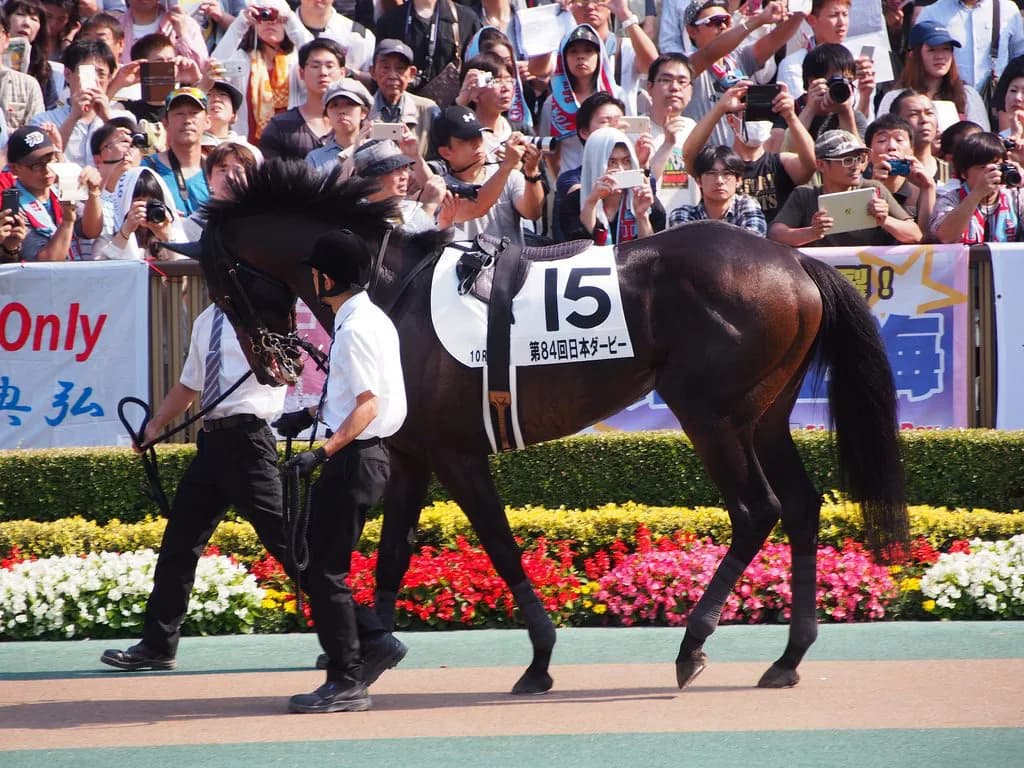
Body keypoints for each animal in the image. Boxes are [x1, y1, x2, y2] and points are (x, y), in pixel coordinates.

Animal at [174, 160, 908, 695]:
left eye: (221, 281)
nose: (270, 362)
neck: (390, 290)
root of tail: (794, 262)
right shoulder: (412, 454)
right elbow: (393, 553)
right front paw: (366, 654)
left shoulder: (456, 453)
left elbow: (499, 545)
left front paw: (539, 661)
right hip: (764, 418)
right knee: (803, 507)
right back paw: (788, 657)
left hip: (711, 414)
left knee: (758, 510)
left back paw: (693, 643)